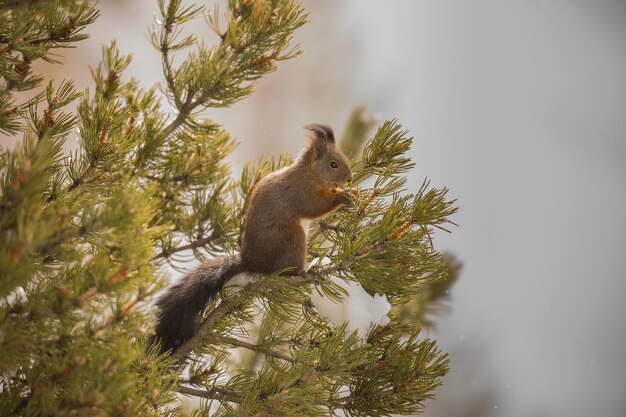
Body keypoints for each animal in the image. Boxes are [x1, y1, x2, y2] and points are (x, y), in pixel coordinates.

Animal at [152, 123, 352, 354]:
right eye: (333, 164)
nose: (350, 179)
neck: (310, 172)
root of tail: (251, 261)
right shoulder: (301, 191)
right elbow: (314, 207)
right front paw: (344, 196)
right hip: (291, 237)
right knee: (285, 270)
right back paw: (304, 271)